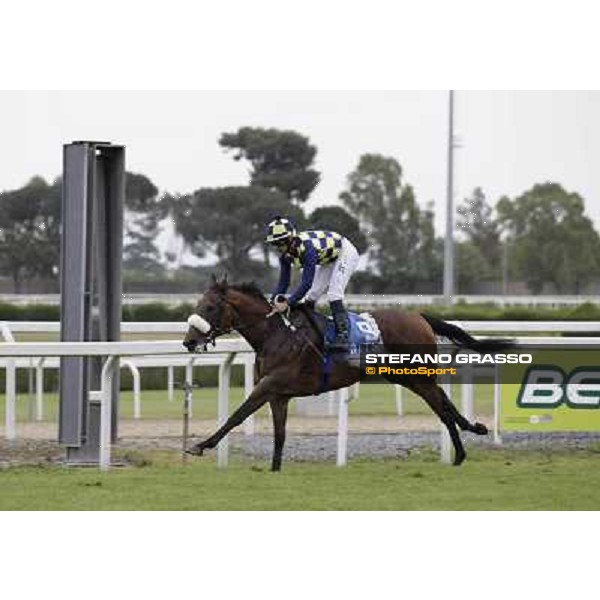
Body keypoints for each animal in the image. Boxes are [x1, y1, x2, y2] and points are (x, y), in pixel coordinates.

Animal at [183, 278, 510, 472]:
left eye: (210, 307)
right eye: (198, 304)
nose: (188, 342)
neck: (276, 335)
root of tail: (419, 316)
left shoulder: (268, 386)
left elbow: (236, 415)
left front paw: (199, 446)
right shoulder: (279, 395)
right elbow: (279, 434)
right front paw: (275, 470)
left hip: (417, 375)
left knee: (441, 406)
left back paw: (462, 450)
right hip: (406, 376)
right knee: (442, 401)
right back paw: (471, 433)